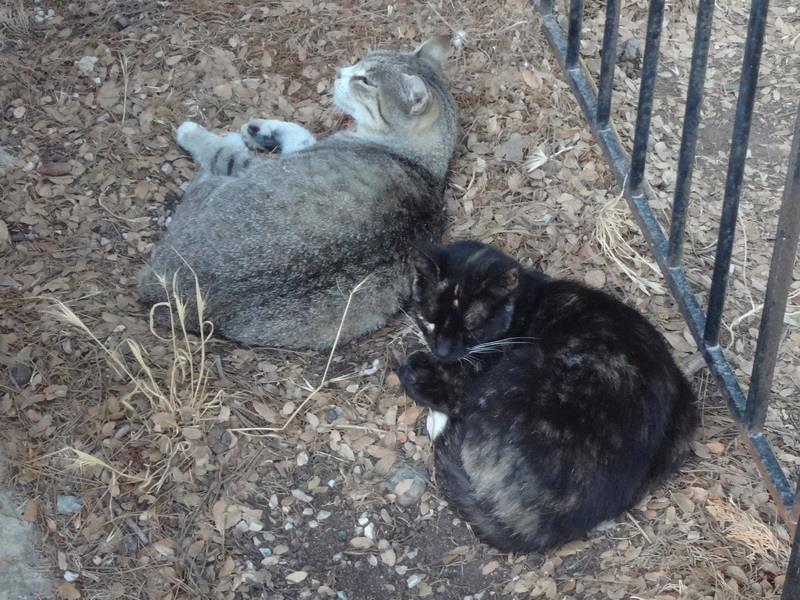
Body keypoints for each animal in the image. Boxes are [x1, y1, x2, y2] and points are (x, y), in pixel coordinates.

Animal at [137, 36, 458, 349]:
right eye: (360, 62)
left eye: (365, 80)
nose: (339, 72)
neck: (419, 161)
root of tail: (158, 288)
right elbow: (301, 132)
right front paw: (262, 131)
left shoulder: (260, 164)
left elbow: (227, 152)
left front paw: (199, 134)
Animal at [397, 241, 698, 553]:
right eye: (429, 322)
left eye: (471, 329)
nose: (442, 351)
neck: (523, 304)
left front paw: (417, 370)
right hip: (686, 415)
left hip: (521, 366)